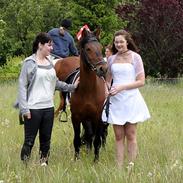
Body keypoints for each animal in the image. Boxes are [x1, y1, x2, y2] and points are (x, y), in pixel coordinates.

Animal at [69, 28, 108, 162]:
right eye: (88, 49)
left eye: (100, 47)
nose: (103, 69)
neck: (88, 90)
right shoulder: (76, 117)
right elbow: (77, 140)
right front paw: (76, 160)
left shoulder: (98, 117)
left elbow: (97, 140)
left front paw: (96, 161)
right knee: (89, 134)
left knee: (100, 135)